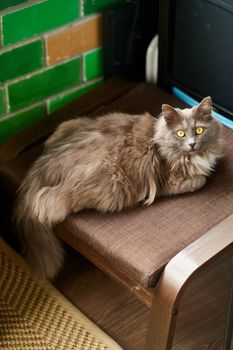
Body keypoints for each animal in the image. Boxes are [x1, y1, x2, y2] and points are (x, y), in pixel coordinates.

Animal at [14, 95, 222, 278]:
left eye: (199, 131)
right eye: (180, 133)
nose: (192, 144)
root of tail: (45, 163)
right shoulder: (168, 181)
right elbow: (201, 179)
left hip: (69, 125)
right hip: (110, 182)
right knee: (46, 202)